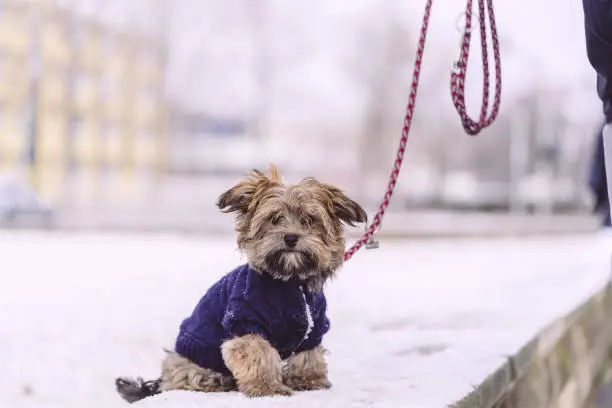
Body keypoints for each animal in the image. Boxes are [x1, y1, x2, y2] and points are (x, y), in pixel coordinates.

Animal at [115, 165, 366, 402]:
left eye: (309, 220)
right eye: (274, 219)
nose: (291, 237)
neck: (290, 281)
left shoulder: (315, 325)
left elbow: (309, 355)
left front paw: (309, 381)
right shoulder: (245, 321)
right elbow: (258, 354)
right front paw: (267, 387)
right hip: (193, 360)